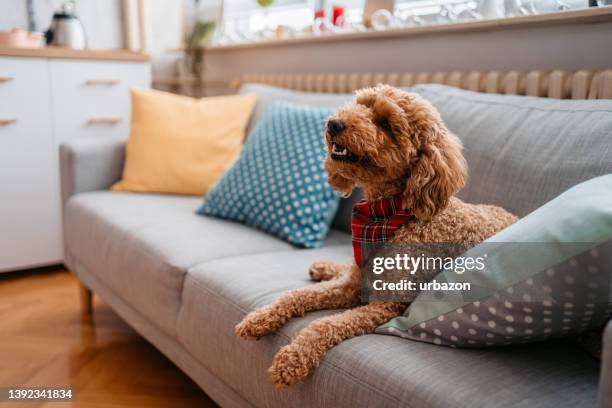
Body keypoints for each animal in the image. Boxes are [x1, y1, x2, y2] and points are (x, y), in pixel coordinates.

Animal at [234, 83, 516, 388]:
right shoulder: (352, 285)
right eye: (361, 105)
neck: (385, 216)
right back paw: (323, 267)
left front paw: (292, 359)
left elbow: (324, 324)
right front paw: (259, 318)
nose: (334, 123)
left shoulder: (385, 304)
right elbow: (295, 294)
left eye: (386, 124)